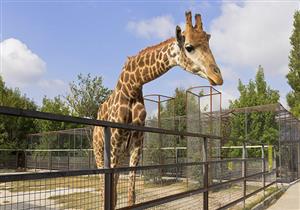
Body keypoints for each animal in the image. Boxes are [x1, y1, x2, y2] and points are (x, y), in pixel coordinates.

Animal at [93, 11, 223, 208]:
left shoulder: (136, 146)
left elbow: (131, 196)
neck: (132, 87)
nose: (218, 76)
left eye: (208, 42)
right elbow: (111, 197)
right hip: (100, 152)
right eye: (189, 47)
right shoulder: (114, 146)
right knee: (103, 190)